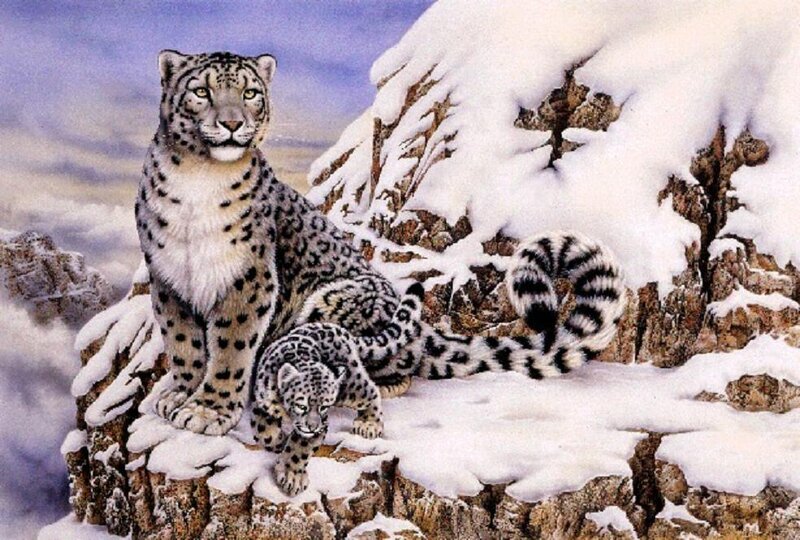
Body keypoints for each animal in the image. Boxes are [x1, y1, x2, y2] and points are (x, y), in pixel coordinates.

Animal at [250, 283, 424, 496]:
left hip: (351, 386)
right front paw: (274, 439)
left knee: (371, 391)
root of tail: (341, 330)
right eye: (302, 405)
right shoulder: (262, 396)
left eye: (324, 406)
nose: (312, 426)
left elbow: (300, 447)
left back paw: (368, 424)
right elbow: (261, 424)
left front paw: (292, 477)